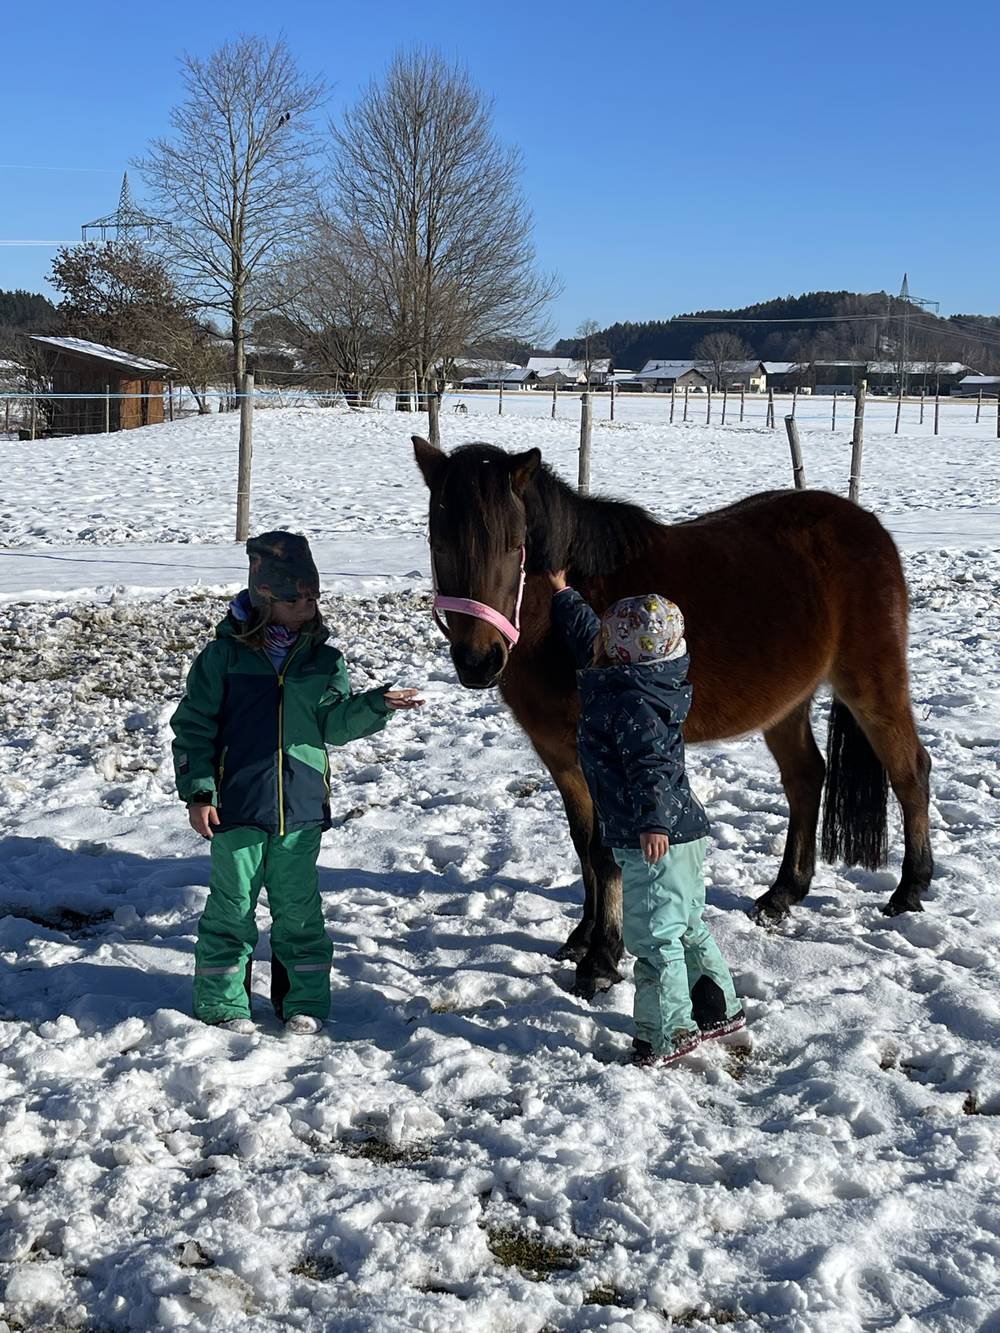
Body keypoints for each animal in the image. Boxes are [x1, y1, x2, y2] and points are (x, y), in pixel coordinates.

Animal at [413, 437, 933, 998]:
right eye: (437, 541)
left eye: (514, 545)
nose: (478, 661)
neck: (555, 619)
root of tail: (867, 526)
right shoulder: (561, 756)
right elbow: (582, 842)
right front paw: (582, 936)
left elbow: (603, 850)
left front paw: (602, 958)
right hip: (787, 705)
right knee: (805, 777)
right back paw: (782, 894)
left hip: (872, 684)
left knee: (909, 771)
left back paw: (910, 889)